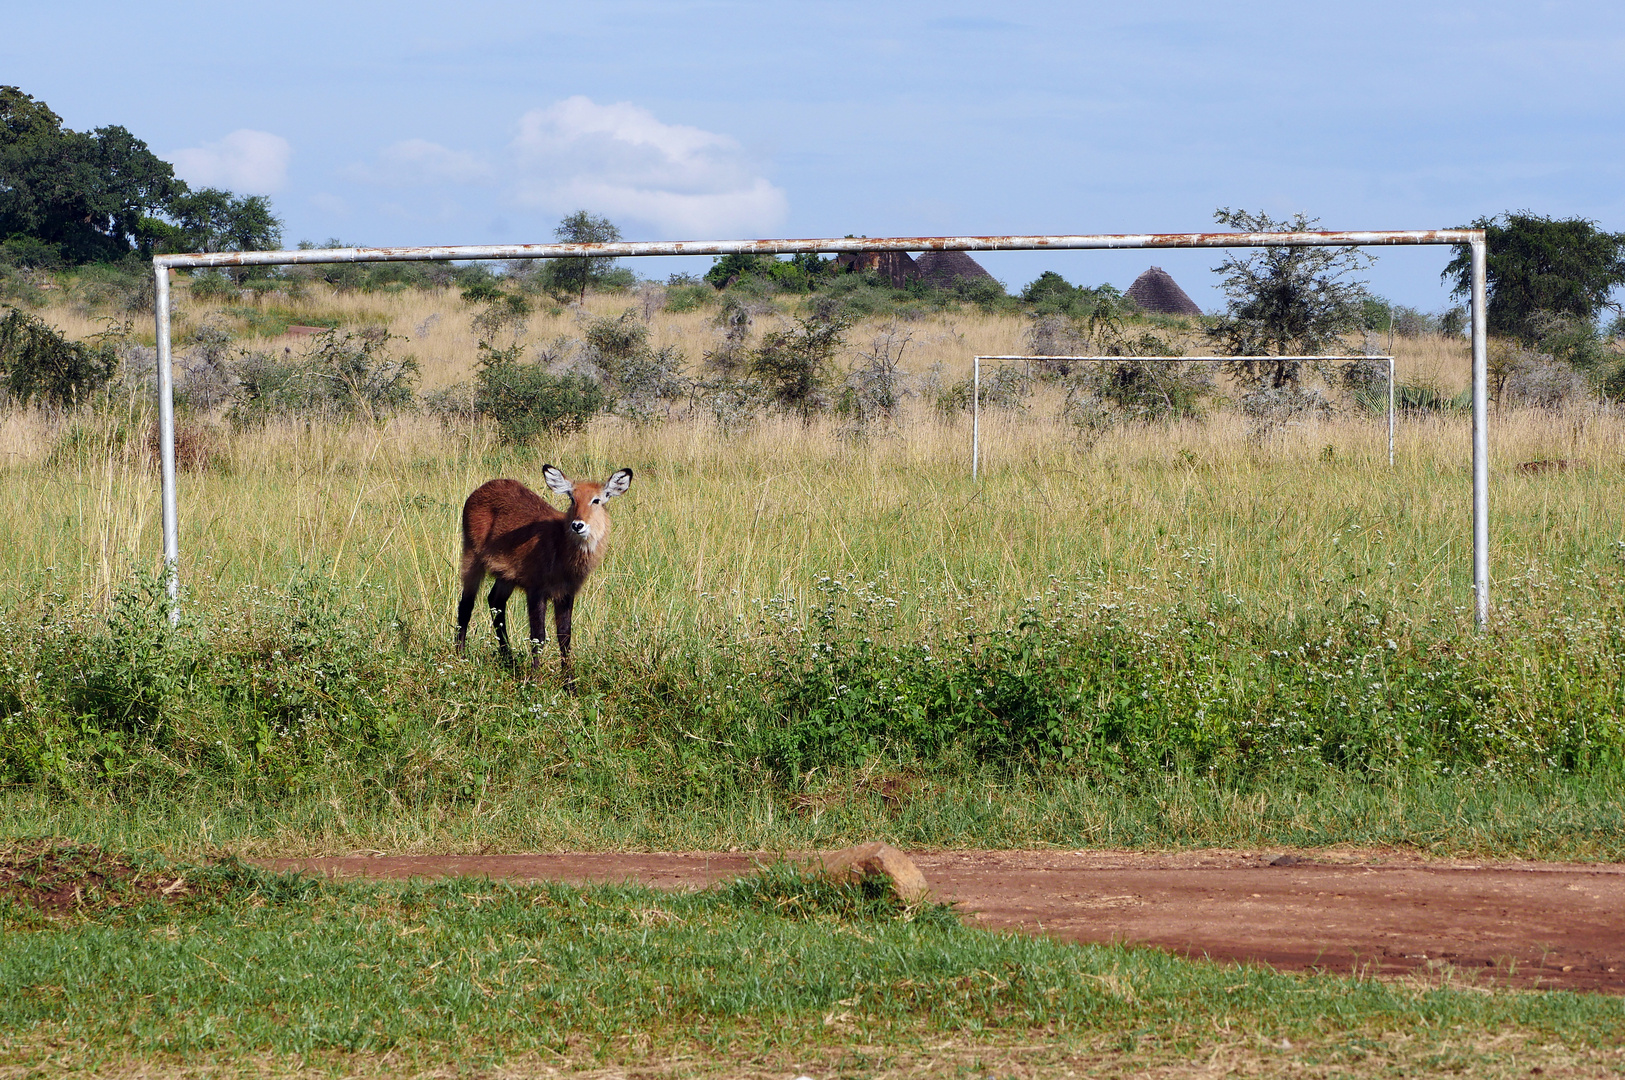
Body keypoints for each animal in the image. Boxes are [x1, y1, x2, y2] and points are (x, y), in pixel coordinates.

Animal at [461, 461, 637, 682]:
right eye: (572, 497)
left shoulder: (566, 594)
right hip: (471, 559)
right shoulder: (536, 591)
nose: (578, 525)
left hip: (505, 577)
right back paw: (459, 656)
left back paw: (508, 660)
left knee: (495, 602)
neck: (560, 546)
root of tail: (480, 490)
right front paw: (535, 680)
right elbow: (538, 636)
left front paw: (569, 683)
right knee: (466, 605)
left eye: (597, 499)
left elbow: (564, 637)